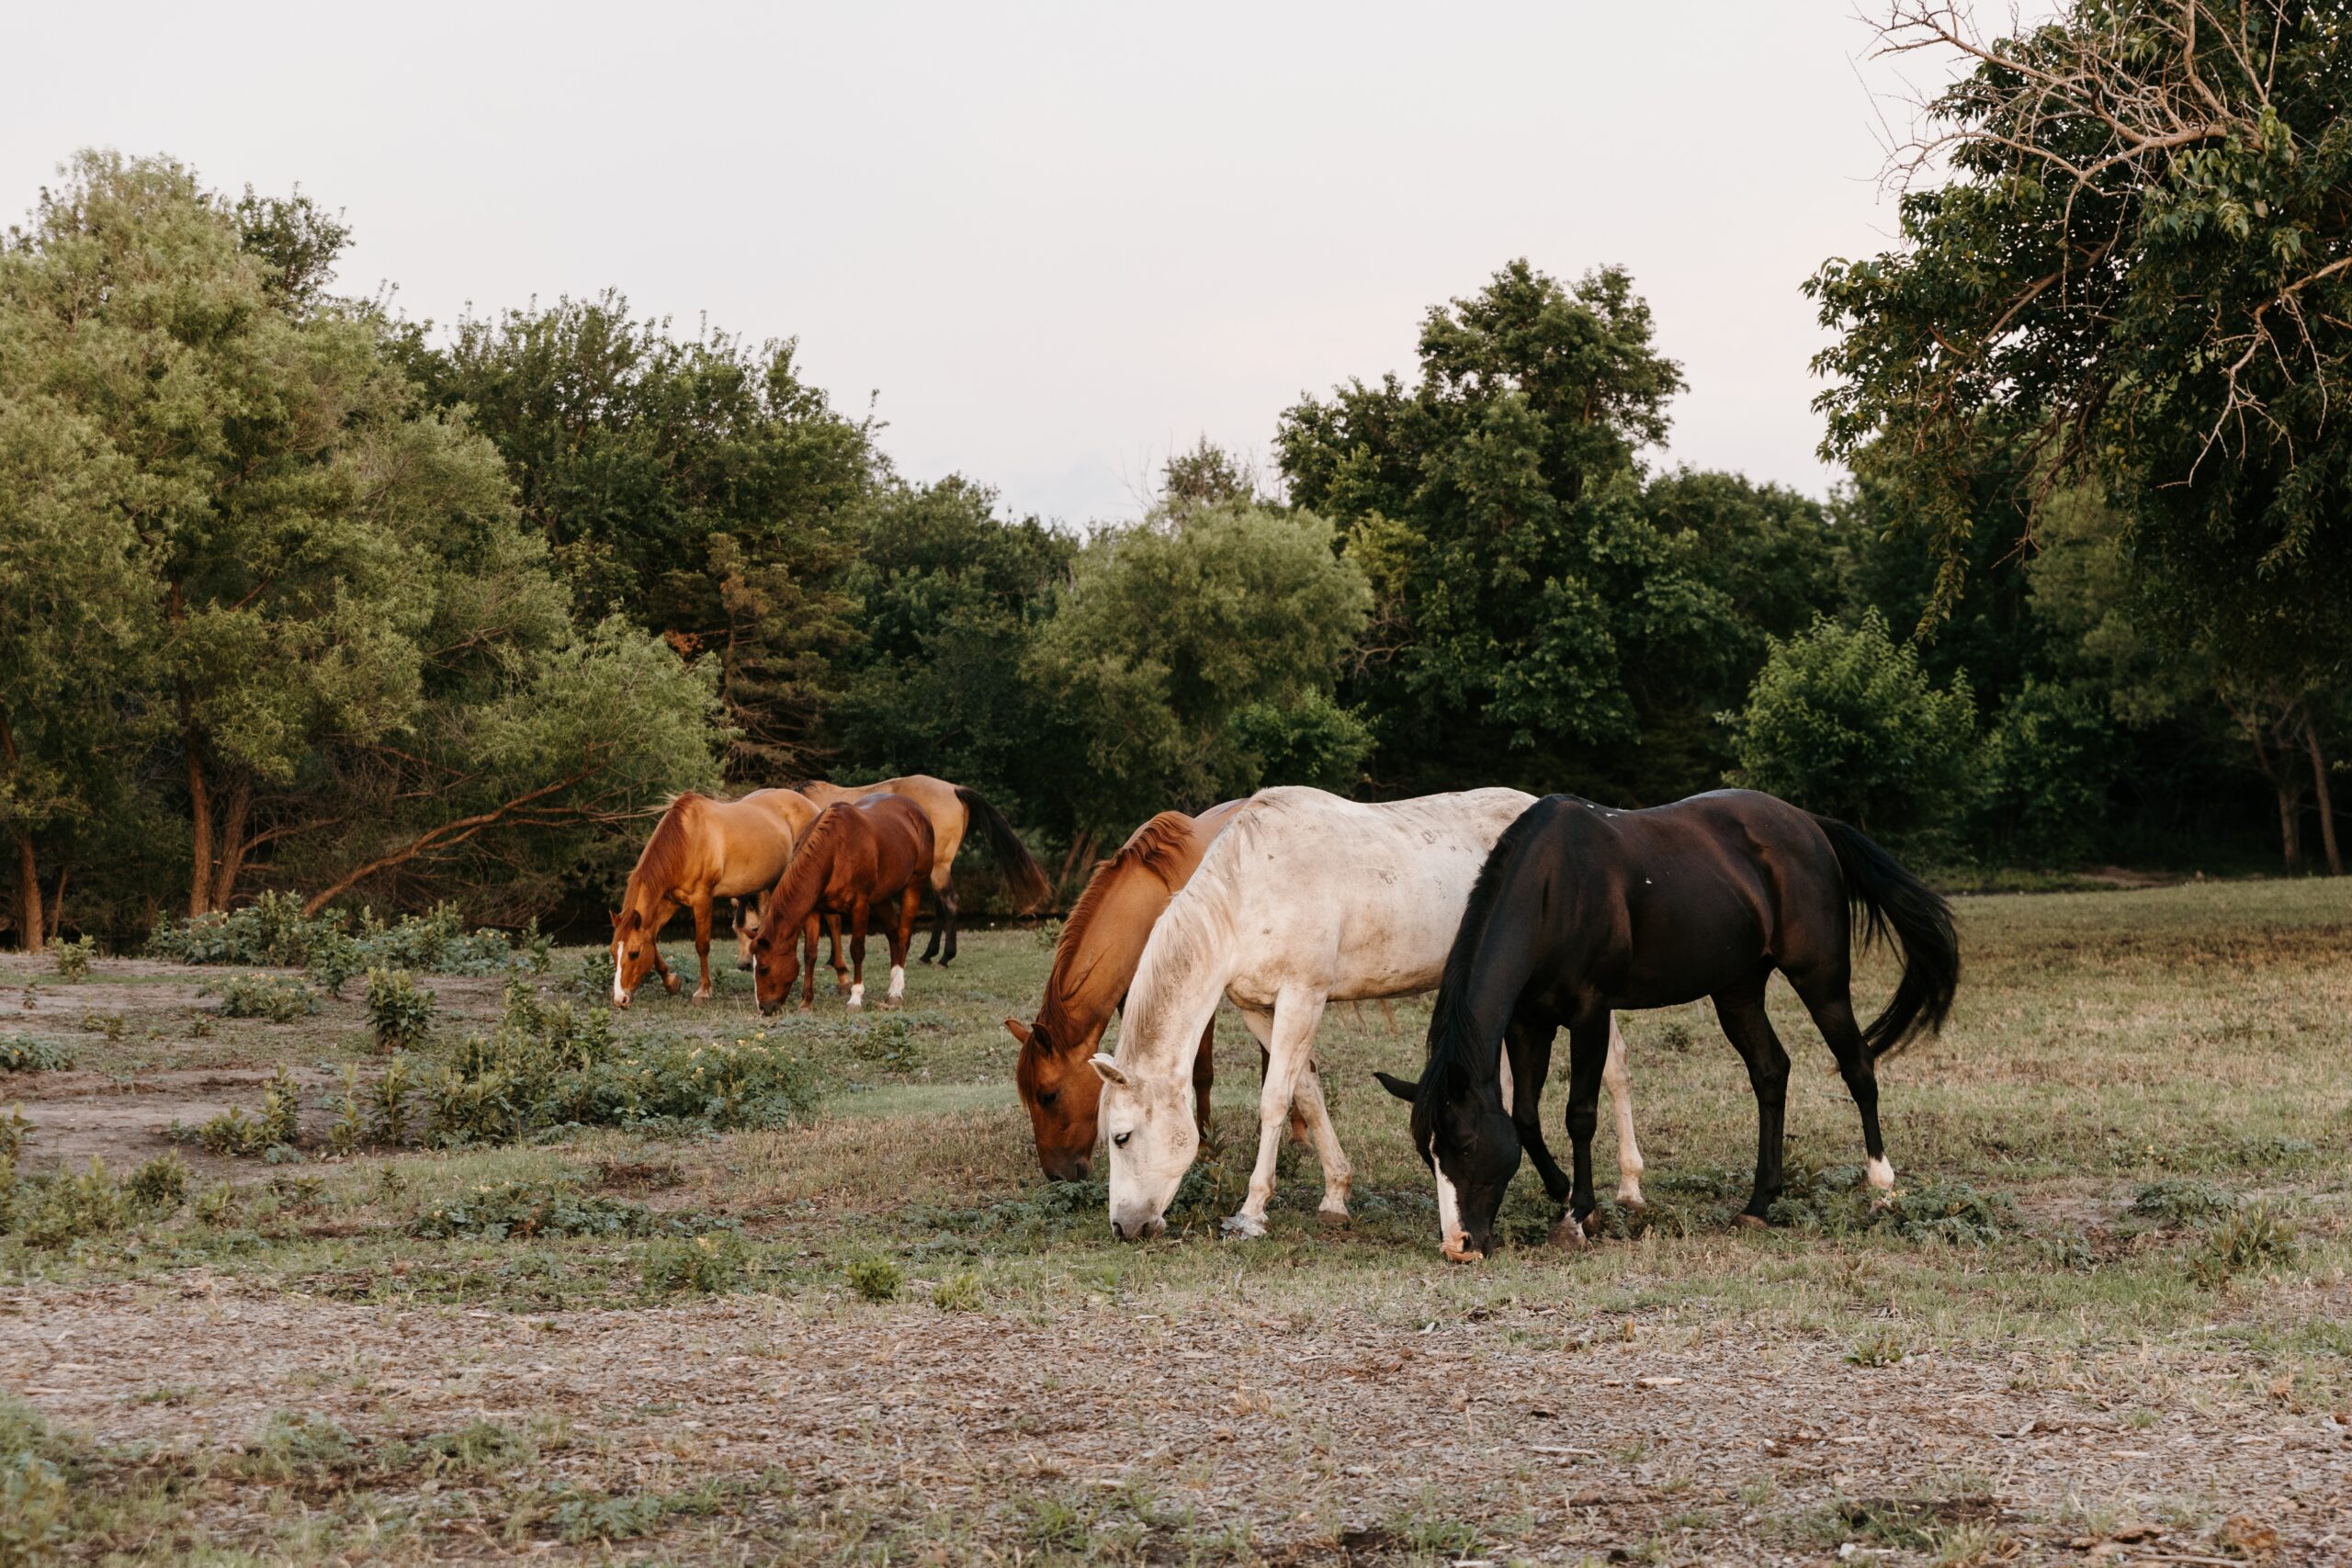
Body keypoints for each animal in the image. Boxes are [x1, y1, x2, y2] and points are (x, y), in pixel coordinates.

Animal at [609, 789, 837, 1007]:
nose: (621, 1000)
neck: (686, 840)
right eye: (612, 953)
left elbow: (702, 945)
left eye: (634, 954)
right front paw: (672, 982)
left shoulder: (702, 898)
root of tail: (814, 807)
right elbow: (653, 938)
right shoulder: (670, 901)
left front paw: (703, 991)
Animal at [748, 794, 936, 1014]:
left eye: (764, 969)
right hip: (881, 898)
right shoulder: (813, 910)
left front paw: (855, 997)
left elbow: (857, 950)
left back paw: (896, 992)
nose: (764, 1008)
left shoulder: (860, 905)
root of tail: (916, 810)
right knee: (893, 934)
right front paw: (806, 1002)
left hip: (914, 885)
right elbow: (810, 953)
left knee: (904, 935)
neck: (836, 850)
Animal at [796, 774, 1051, 964]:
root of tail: (954, 789)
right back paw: (929, 954)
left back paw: (945, 957)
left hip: (938, 867)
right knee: (940, 906)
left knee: (950, 902)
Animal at [1088, 786, 1645, 1242]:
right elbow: (1307, 1093)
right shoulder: (1258, 1008)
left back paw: (1629, 1189)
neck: (1250, 888)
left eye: (1122, 1136)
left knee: (1615, 1068)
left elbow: (1275, 1101)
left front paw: (1251, 1212)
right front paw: (1335, 1196)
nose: (1123, 1227)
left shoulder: (1303, 996)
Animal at [1380, 789, 1958, 1263]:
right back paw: (1758, 1204)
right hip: (1737, 990)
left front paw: (1577, 1216)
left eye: (1465, 1146)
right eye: (1428, 1154)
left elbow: (1579, 1114)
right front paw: (1566, 1193)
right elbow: (1524, 1117)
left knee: (1857, 1065)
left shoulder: (1590, 1013)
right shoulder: (1529, 1021)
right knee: (1771, 1072)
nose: (1459, 1246)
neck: (1555, 888)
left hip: (1821, 978)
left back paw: (1882, 1186)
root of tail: (1808, 824)